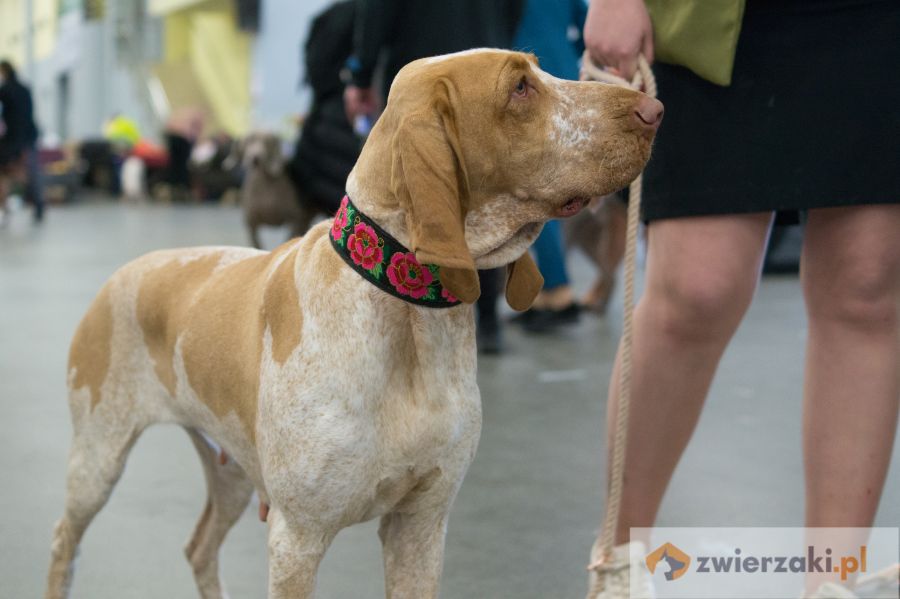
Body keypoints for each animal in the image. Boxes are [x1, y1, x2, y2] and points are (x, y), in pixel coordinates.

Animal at [44, 49, 660, 596]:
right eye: (520, 88)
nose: (654, 109)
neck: (406, 312)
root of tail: (126, 272)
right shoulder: (298, 539)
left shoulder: (421, 527)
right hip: (96, 463)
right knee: (63, 542)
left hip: (232, 471)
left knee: (198, 548)